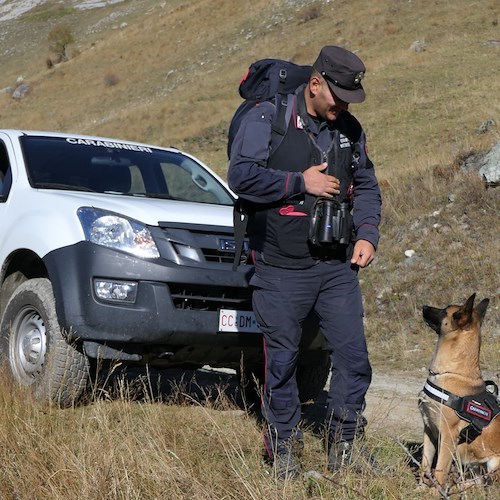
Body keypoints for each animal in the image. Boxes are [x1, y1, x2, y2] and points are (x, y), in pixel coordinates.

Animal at [418, 292, 500, 492]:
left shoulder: (448, 436)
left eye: (445, 310)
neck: (452, 372)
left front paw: (435, 493)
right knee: (478, 482)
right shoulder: (428, 429)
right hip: (477, 467)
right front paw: (421, 489)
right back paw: (458, 486)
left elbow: (439, 470)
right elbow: (425, 465)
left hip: (495, 463)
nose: (423, 306)